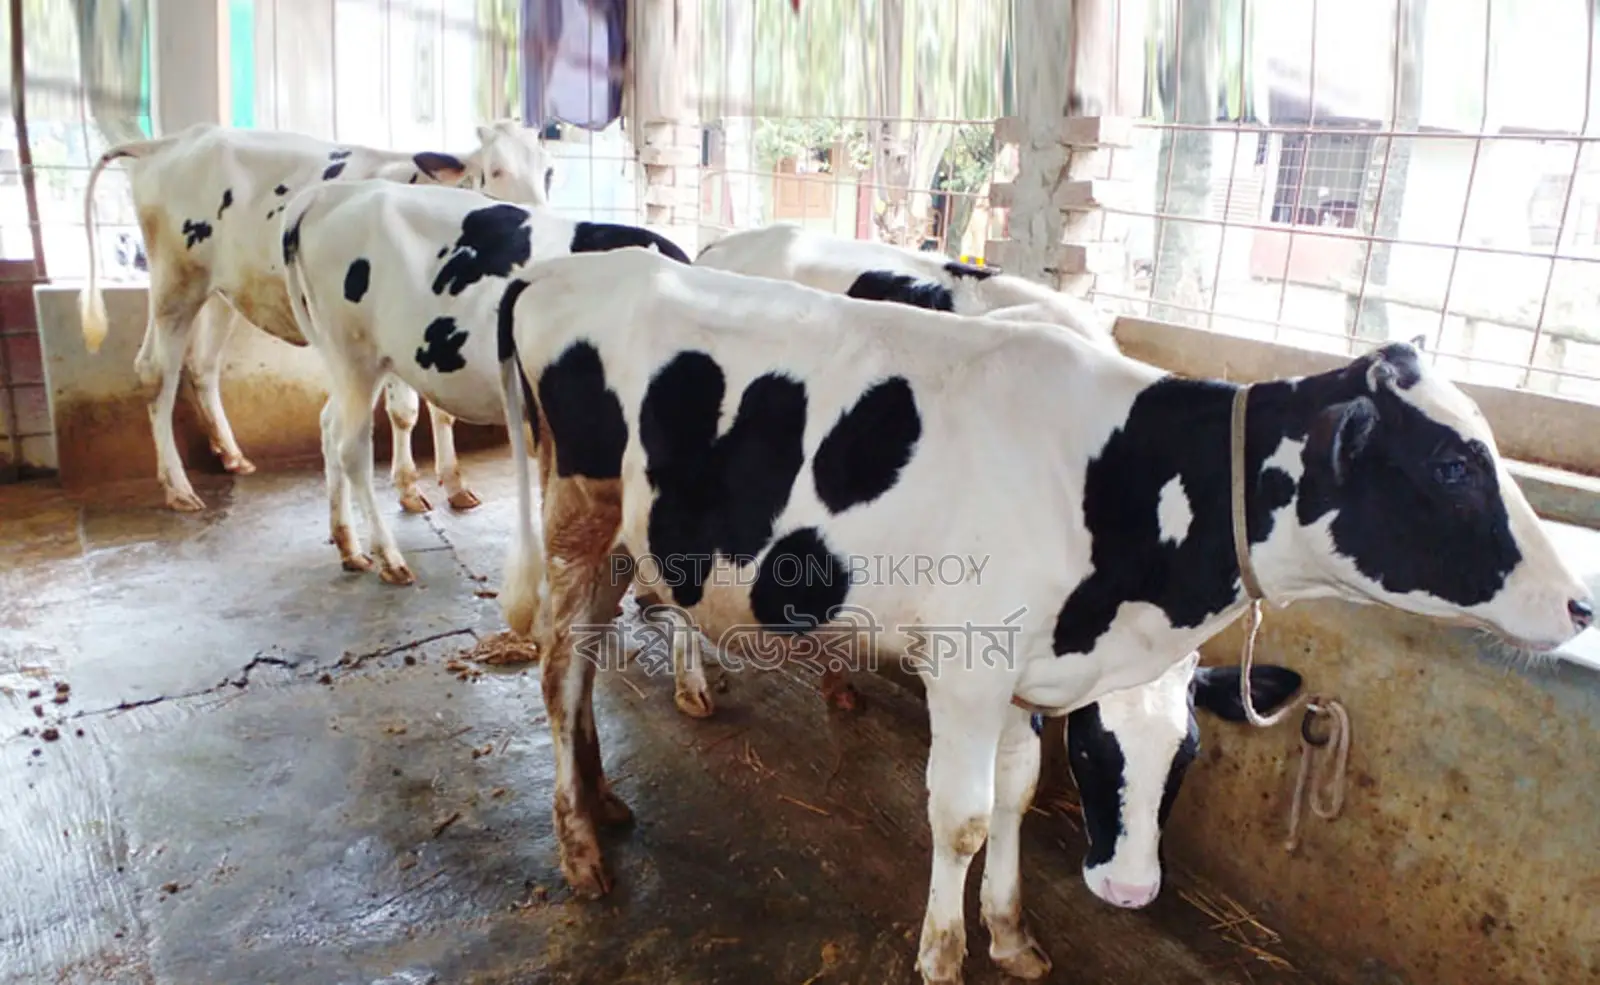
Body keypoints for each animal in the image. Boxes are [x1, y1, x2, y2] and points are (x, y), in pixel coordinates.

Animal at [76, 120, 555, 513]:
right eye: (494, 171)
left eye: (549, 172)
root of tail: (172, 141)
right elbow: (405, 411)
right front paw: (407, 488)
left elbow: (442, 411)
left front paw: (454, 484)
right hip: (175, 282)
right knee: (157, 370)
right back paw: (178, 488)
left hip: (219, 293)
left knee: (202, 366)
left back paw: (232, 456)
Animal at [279, 179, 690, 584]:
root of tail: (328, 192)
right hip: (356, 354)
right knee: (352, 449)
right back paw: (388, 557)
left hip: (348, 362)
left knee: (329, 427)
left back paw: (348, 545)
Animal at [492, 246, 1591, 985]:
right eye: (1449, 465)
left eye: (1188, 758)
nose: (1581, 602)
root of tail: (567, 266)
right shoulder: (969, 668)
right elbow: (965, 815)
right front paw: (943, 954)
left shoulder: (1032, 670)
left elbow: (1019, 795)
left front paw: (1015, 935)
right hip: (579, 511)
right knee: (557, 667)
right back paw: (580, 847)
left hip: (623, 534)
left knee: (583, 663)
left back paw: (606, 801)